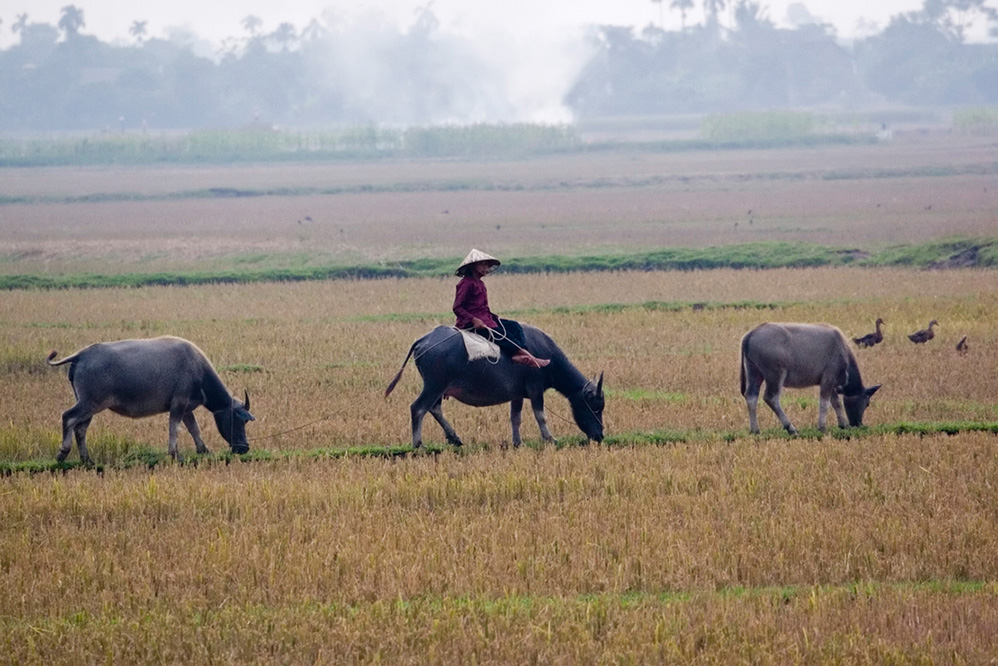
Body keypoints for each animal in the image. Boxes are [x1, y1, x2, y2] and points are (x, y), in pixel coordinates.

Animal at [48, 338, 256, 462]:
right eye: (239, 419)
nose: (244, 448)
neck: (197, 368)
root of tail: (81, 354)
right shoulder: (178, 404)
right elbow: (175, 428)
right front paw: (174, 453)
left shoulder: (187, 408)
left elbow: (194, 429)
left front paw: (203, 450)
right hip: (90, 403)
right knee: (68, 417)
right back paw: (62, 453)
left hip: (89, 406)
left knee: (81, 428)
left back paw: (87, 459)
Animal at [384, 322, 604, 446]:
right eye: (595, 407)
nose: (600, 435)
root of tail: (424, 340)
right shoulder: (535, 389)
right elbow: (541, 416)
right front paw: (550, 438)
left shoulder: (518, 394)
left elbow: (515, 418)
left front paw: (517, 442)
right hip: (434, 385)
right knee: (418, 408)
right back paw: (418, 444)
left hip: (438, 388)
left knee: (434, 408)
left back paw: (454, 438)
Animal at [736, 322, 884, 436]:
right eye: (867, 403)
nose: (857, 424)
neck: (842, 350)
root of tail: (751, 333)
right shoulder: (828, 379)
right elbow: (824, 403)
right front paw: (822, 427)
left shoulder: (831, 384)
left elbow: (836, 403)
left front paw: (843, 425)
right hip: (775, 375)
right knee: (771, 398)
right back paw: (791, 428)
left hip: (754, 373)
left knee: (751, 396)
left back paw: (755, 430)